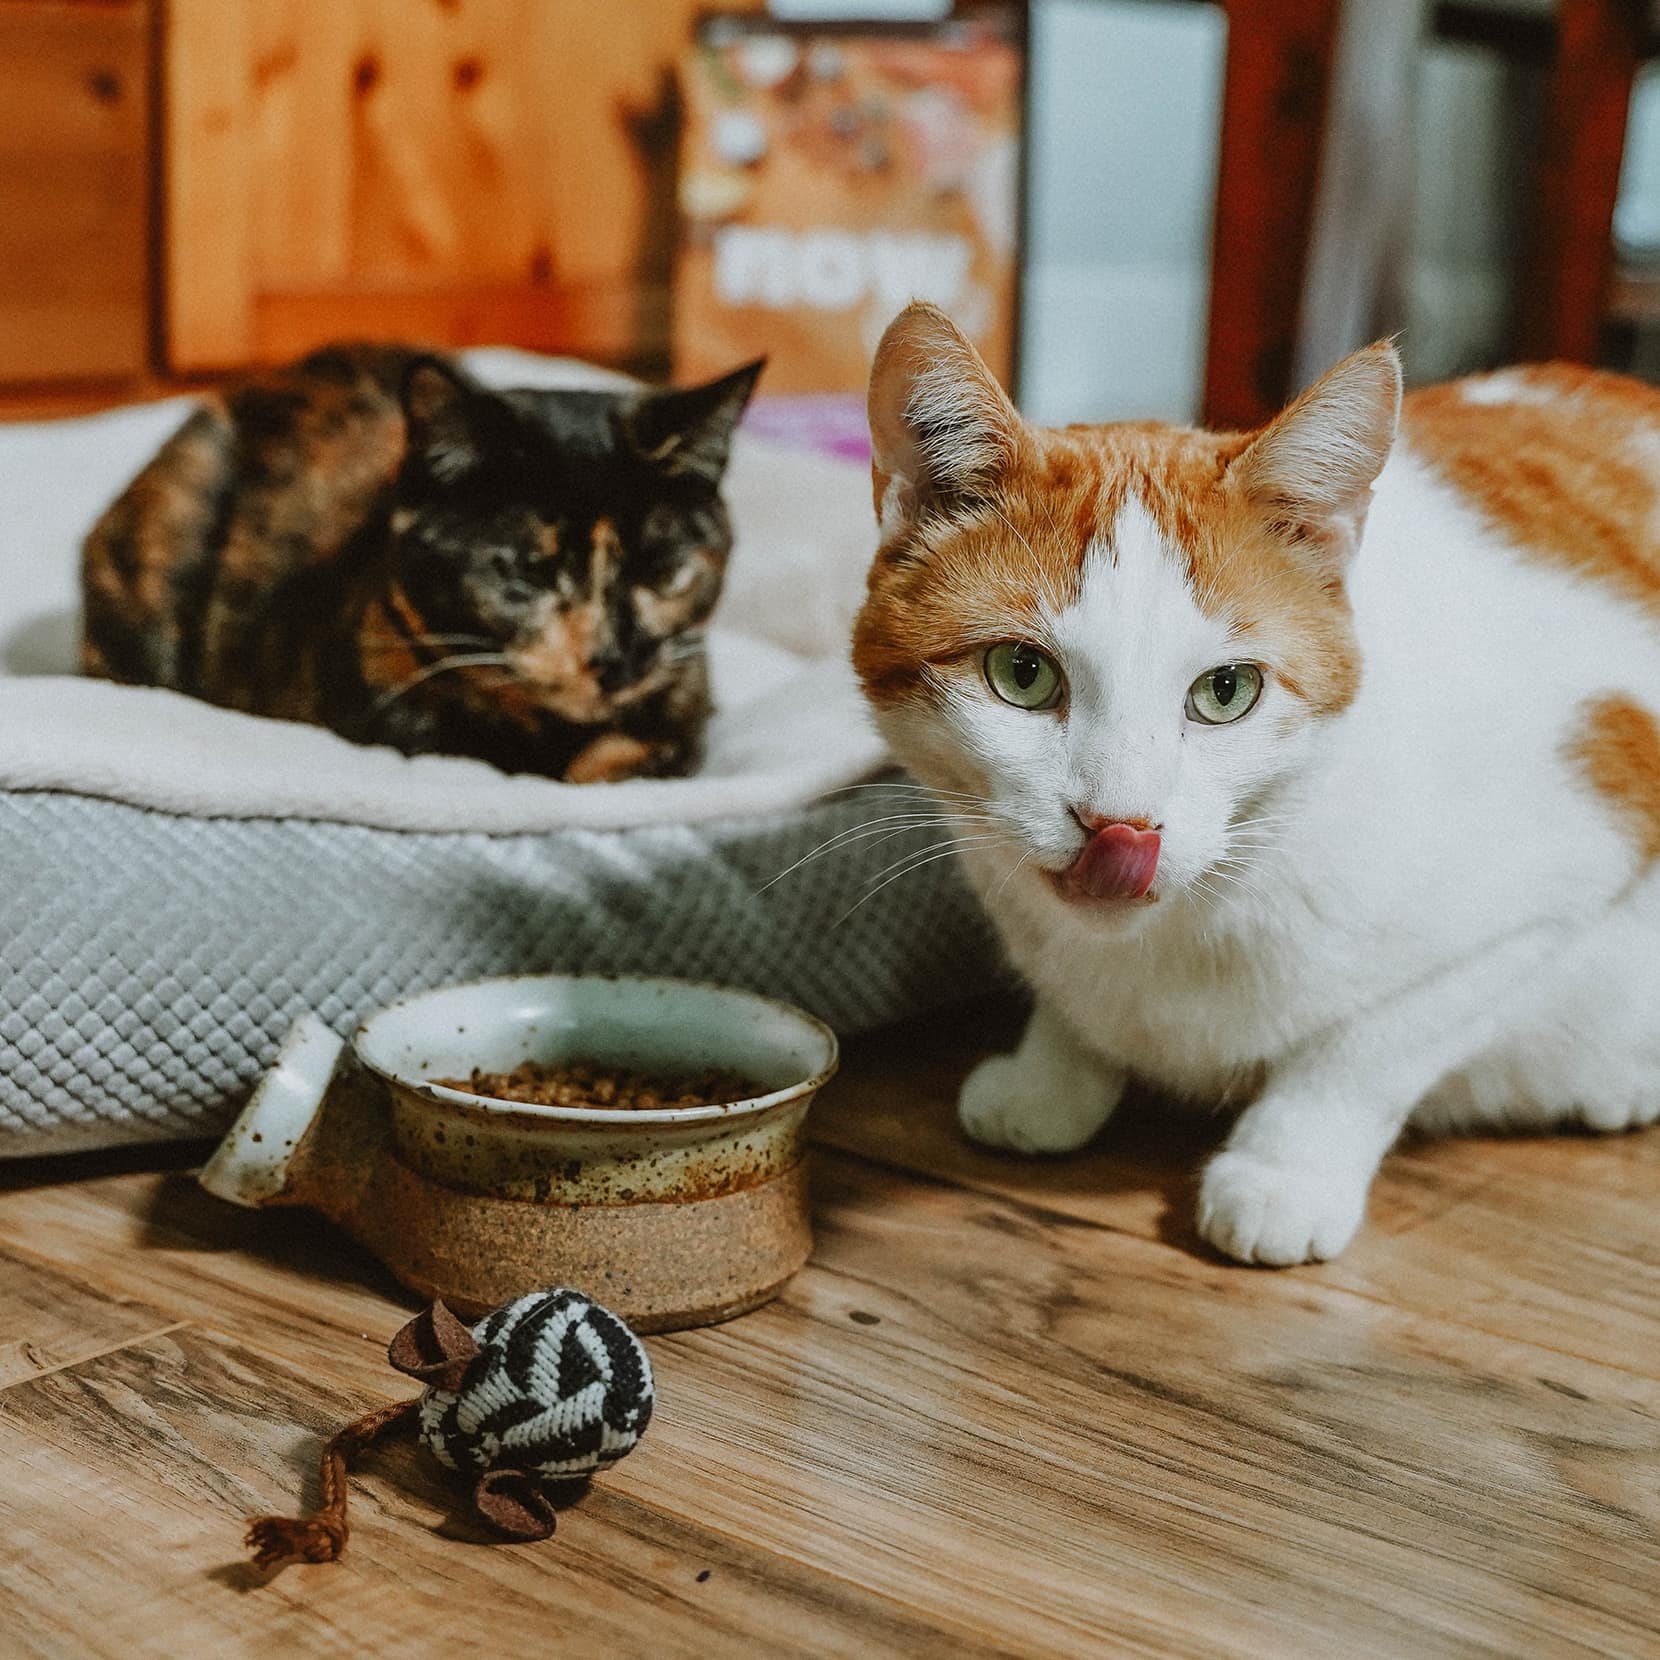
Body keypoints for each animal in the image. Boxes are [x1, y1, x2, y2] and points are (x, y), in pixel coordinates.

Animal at [856, 302, 1660, 1254]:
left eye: (1227, 692)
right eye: (1021, 673)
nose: (1120, 824)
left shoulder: (1546, 894)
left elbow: (1368, 1049)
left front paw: (1285, 1172)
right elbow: (1072, 1003)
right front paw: (1049, 1078)